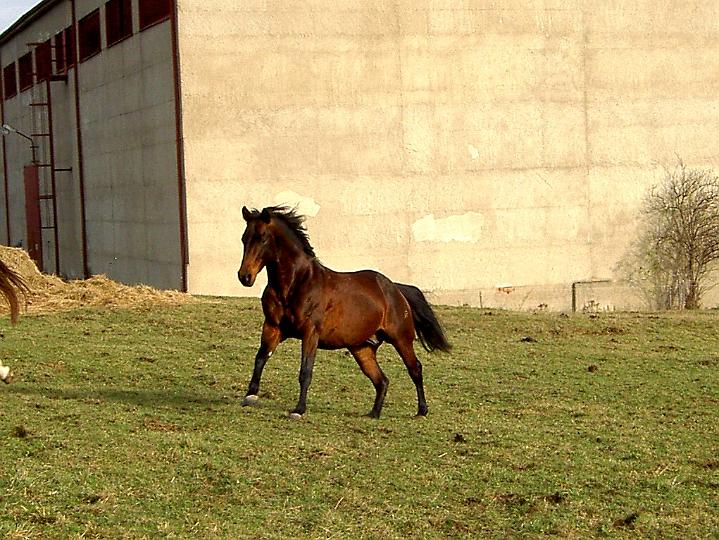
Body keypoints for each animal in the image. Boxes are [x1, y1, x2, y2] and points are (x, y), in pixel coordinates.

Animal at [238, 205, 450, 420]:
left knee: (415, 369)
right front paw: (250, 396)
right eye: (244, 238)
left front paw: (299, 410)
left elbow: (305, 371)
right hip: (362, 348)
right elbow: (261, 358)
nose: (244, 277)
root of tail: (396, 290)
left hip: (401, 339)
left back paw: (421, 411)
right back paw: (373, 413)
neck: (296, 284)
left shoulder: (310, 333)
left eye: (263, 238)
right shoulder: (273, 327)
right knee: (381, 380)